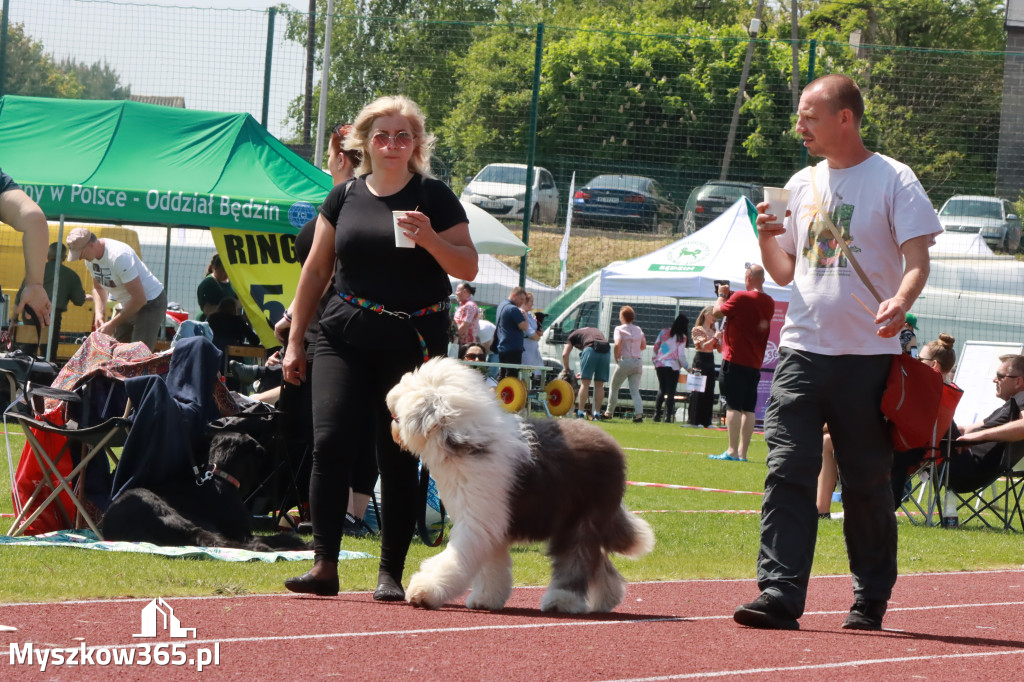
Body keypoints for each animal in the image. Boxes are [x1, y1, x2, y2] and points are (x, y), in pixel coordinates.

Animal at [100, 430, 309, 552]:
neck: (219, 476)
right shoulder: (240, 532)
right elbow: (277, 537)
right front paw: (299, 543)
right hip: (160, 507)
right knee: (210, 540)